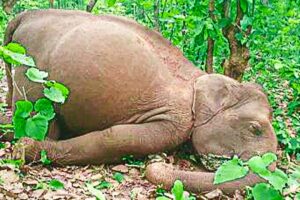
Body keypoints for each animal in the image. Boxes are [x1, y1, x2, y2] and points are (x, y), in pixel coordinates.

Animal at [0, 9, 276, 194]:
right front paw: (26, 149)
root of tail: (25, 15)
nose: (158, 161)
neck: (200, 80)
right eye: (255, 128)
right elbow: (117, 138)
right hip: (33, 68)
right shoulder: (176, 118)